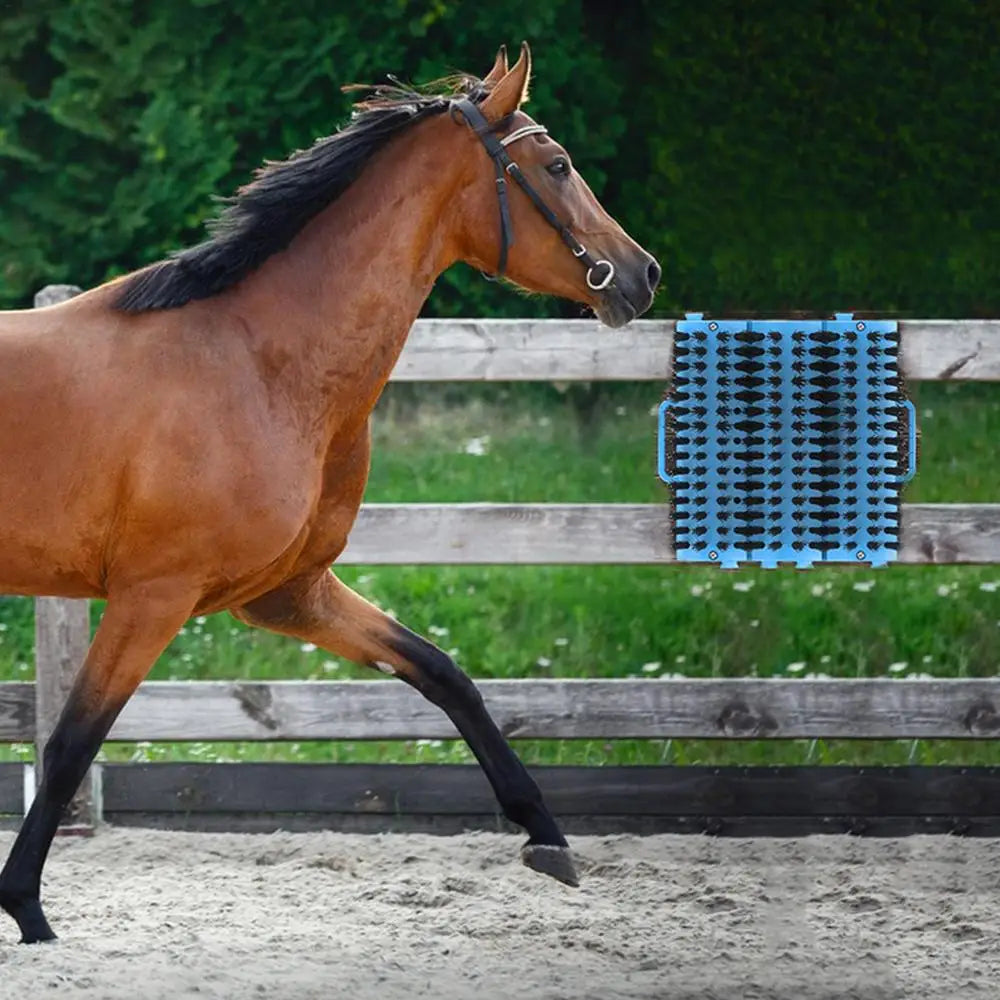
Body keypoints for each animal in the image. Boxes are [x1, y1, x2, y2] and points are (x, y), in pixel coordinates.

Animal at [0, 42, 660, 943]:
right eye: (557, 166)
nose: (641, 275)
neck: (256, 362)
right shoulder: (152, 596)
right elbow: (70, 745)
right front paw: (27, 910)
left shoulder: (287, 594)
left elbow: (443, 673)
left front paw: (547, 838)